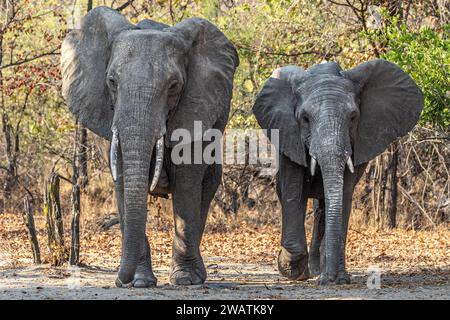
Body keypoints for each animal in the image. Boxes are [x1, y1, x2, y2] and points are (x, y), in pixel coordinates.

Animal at [61, 7, 241, 288]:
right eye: (111, 81)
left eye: (174, 86)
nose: (119, 281)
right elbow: (124, 182)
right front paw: (140, 282)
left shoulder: (195, 107)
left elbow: (187, 183)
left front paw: (185, 280)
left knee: (206, 188)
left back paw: (197, 275)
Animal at [253, 60, 422, 284]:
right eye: (305, 119)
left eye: (353, 117)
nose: (330, 279)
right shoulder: (288, 135)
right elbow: (292, 191)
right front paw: (293, 269)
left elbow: (343, 195)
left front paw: (337, 278)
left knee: (324, 208)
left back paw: (319, 270)